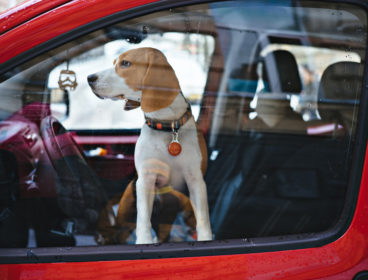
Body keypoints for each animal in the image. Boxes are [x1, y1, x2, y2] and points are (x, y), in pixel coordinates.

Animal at [87, 47, 213, 244]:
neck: (167, 127)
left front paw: (206, 239)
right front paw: (145, 242)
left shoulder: (196, 180)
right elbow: (143, 218)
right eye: (115, 62)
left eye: (125, 63)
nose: (89, 78)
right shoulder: (146, 179)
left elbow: (203, 218)